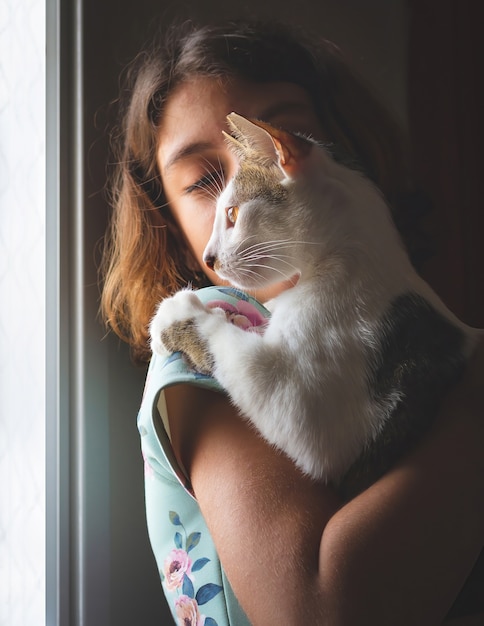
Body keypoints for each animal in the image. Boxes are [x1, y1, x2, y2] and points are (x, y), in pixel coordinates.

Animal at [151, 111, 480, 492]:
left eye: (232, 213)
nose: (208, 259)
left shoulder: (310, 418)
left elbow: (224, 344)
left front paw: (174, 313)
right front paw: (238, 318)